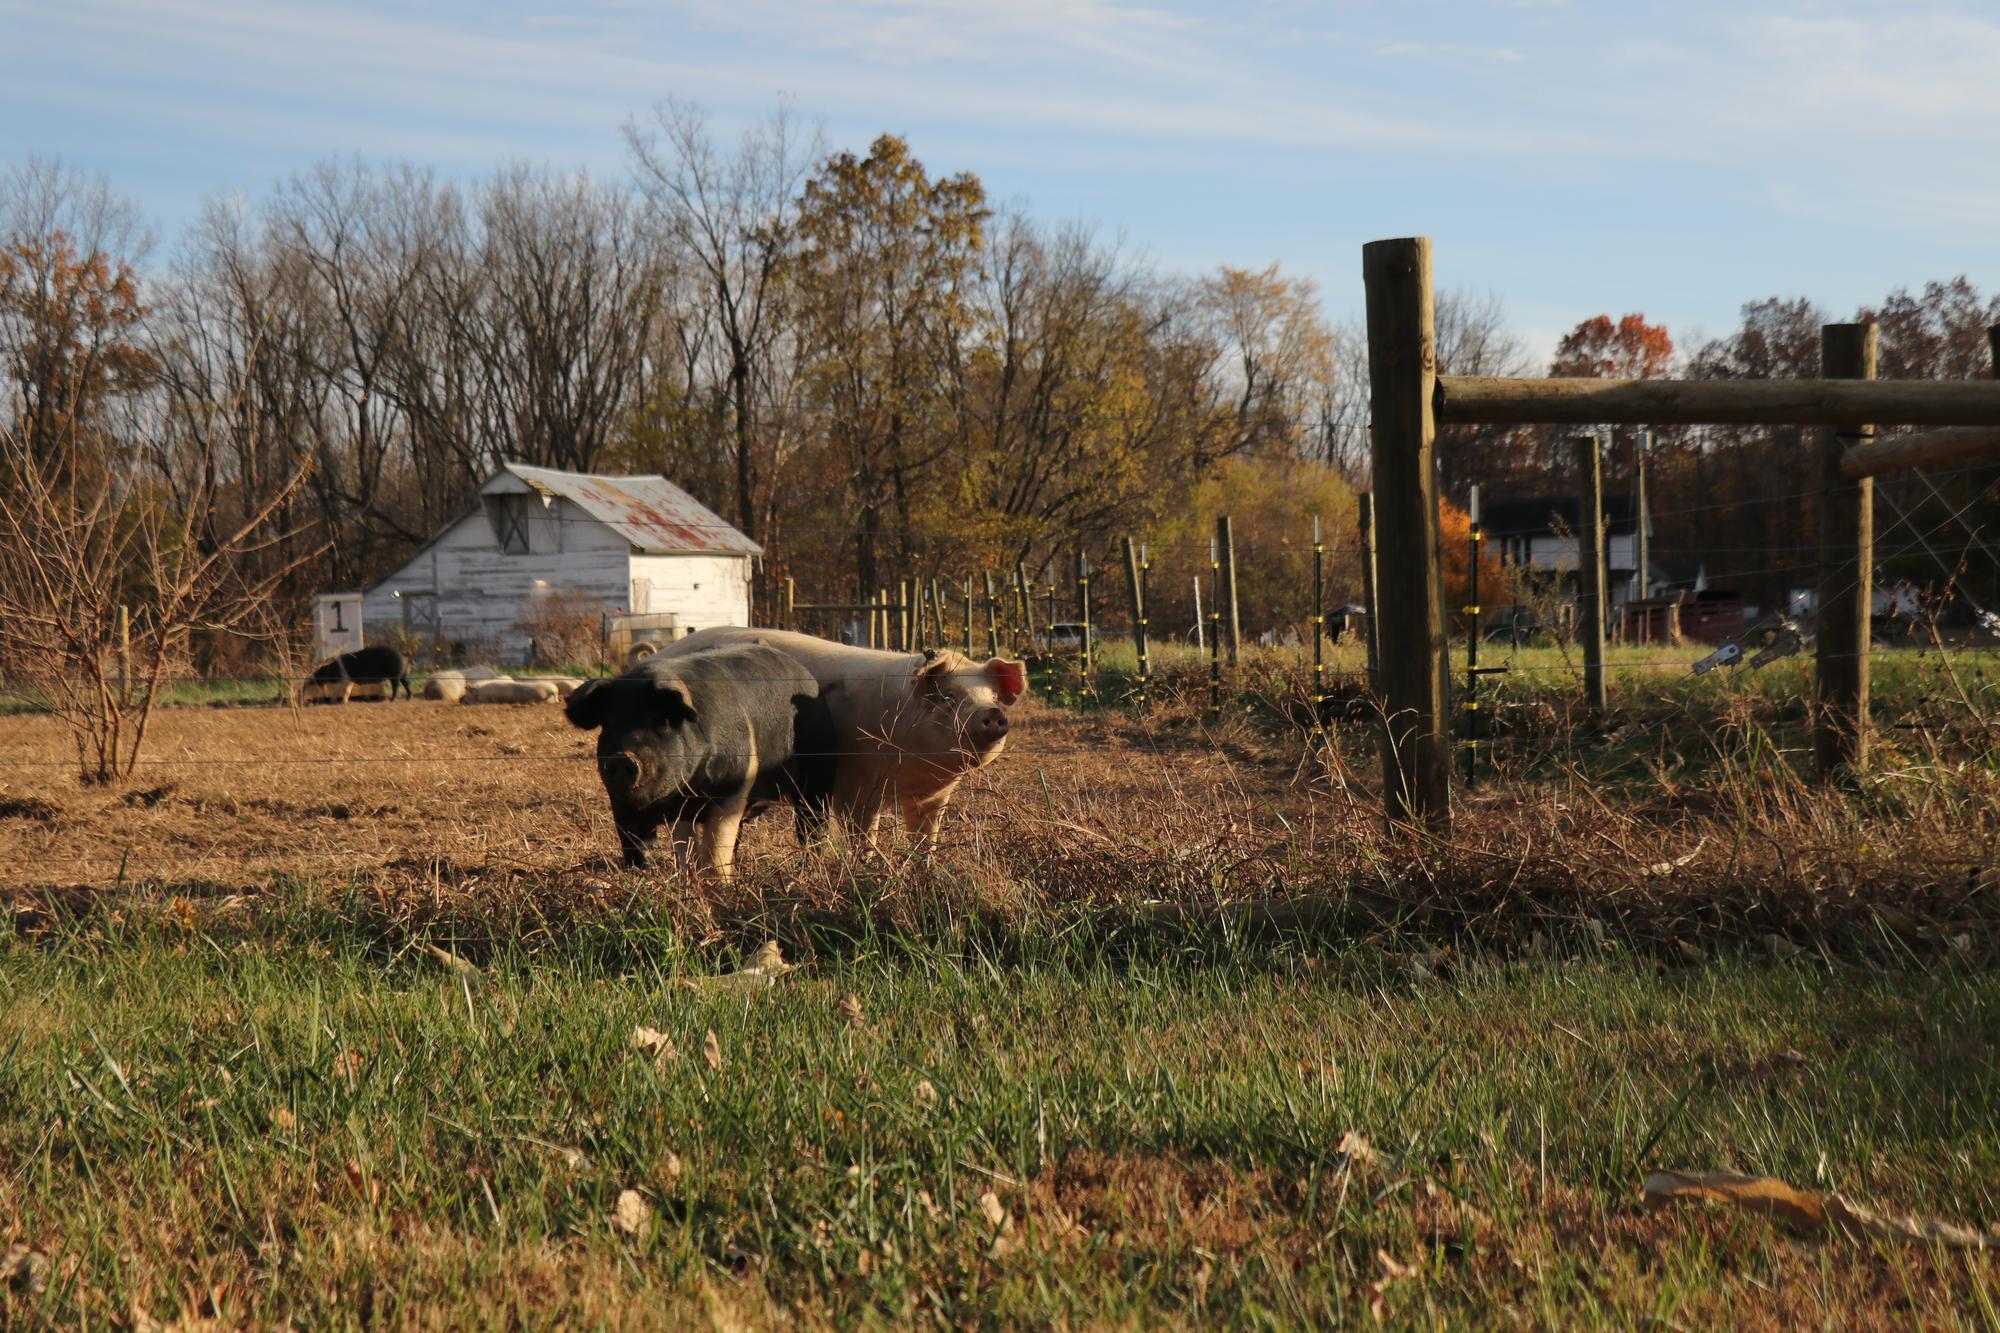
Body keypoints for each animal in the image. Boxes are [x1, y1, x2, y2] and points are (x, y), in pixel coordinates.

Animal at [562, 643, 835, 878]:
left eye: (660, 721)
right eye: (608, 724)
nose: (622, 758)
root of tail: (807, 677)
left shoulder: (733, 790)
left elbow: (714, 852)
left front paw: (719, 886)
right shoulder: (637, 805)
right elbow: (685, 850)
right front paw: (686, 880)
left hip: (817, 773)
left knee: (811, 825)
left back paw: (810, 869)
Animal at [655, 628, 1026, 847]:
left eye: (993, 696)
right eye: (949, 697)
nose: (992, 714)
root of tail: (660, 654)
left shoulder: (932, 798)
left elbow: (925, 842)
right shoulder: (854, 788)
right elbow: (863, 837)